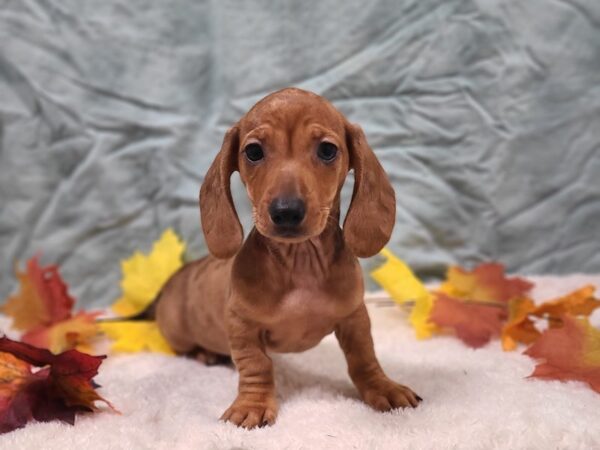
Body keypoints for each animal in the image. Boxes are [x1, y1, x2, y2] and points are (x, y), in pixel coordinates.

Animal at [156, 86, 422, 428]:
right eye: (253, 152)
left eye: (327, 150)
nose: (286, 211)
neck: (301, 263)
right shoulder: (241, 326)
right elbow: (256, 365)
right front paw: (252, 404)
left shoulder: (355, 317)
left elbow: (364, 357)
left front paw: (383, 387)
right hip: (177, 334)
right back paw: (206, 354)